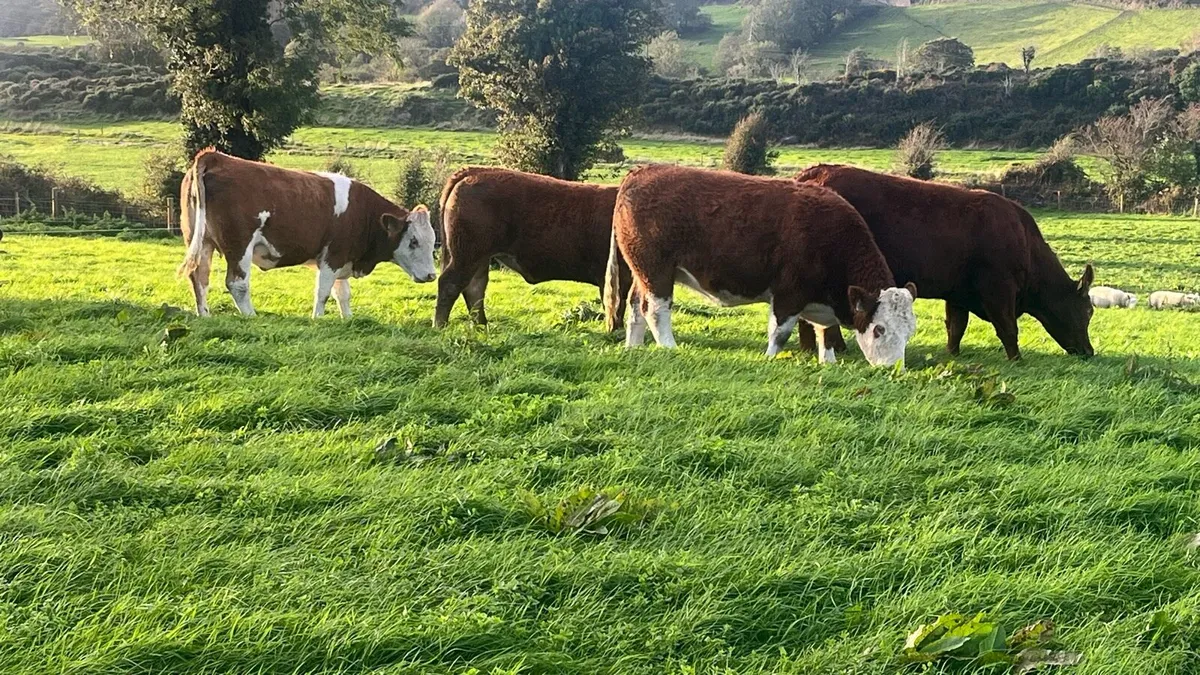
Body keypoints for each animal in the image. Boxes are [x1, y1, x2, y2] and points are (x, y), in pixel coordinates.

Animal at [177, 149, 437, 318]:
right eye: (413, 241)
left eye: (434, 242)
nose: (432, 275)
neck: (363, 212)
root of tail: (215, 156)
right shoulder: (333, 256)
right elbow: (323, 292)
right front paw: (318, 319)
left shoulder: (340, 258)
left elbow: (342, 293)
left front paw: (348, 319)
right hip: (240, 246)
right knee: (237, 283)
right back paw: (251, 316)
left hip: (201, 241)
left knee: (199, 277)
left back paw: (205, 315)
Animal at [435, 167, 631, 329]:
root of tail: (476, 171)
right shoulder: (618, 273)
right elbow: (616, 304)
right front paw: (617, 332)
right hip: (467, 254)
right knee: (450, 284)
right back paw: (440, 326)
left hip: (479, 257)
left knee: (475, 288)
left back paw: (481, 326)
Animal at [603, 164, 919, 367]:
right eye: (879, 329)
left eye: (910, 331)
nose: (893, 369)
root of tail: (641, 171)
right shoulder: (789, 294)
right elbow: (780, 333)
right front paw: (770, 358)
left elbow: (825, 332)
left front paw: (827, 362)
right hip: (657, 271)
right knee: (656, 310)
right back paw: (669, 346)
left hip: (642, 270)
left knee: (635, 306)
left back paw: (634, 345)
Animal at [795, 164, 1095, 360]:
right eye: (1088, 311)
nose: (1089, 352)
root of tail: (812, 174)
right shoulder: (999, 289)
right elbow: (1008, 327)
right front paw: (1016, 359)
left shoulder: (959, 292)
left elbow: (956, 326)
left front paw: (953, 354)